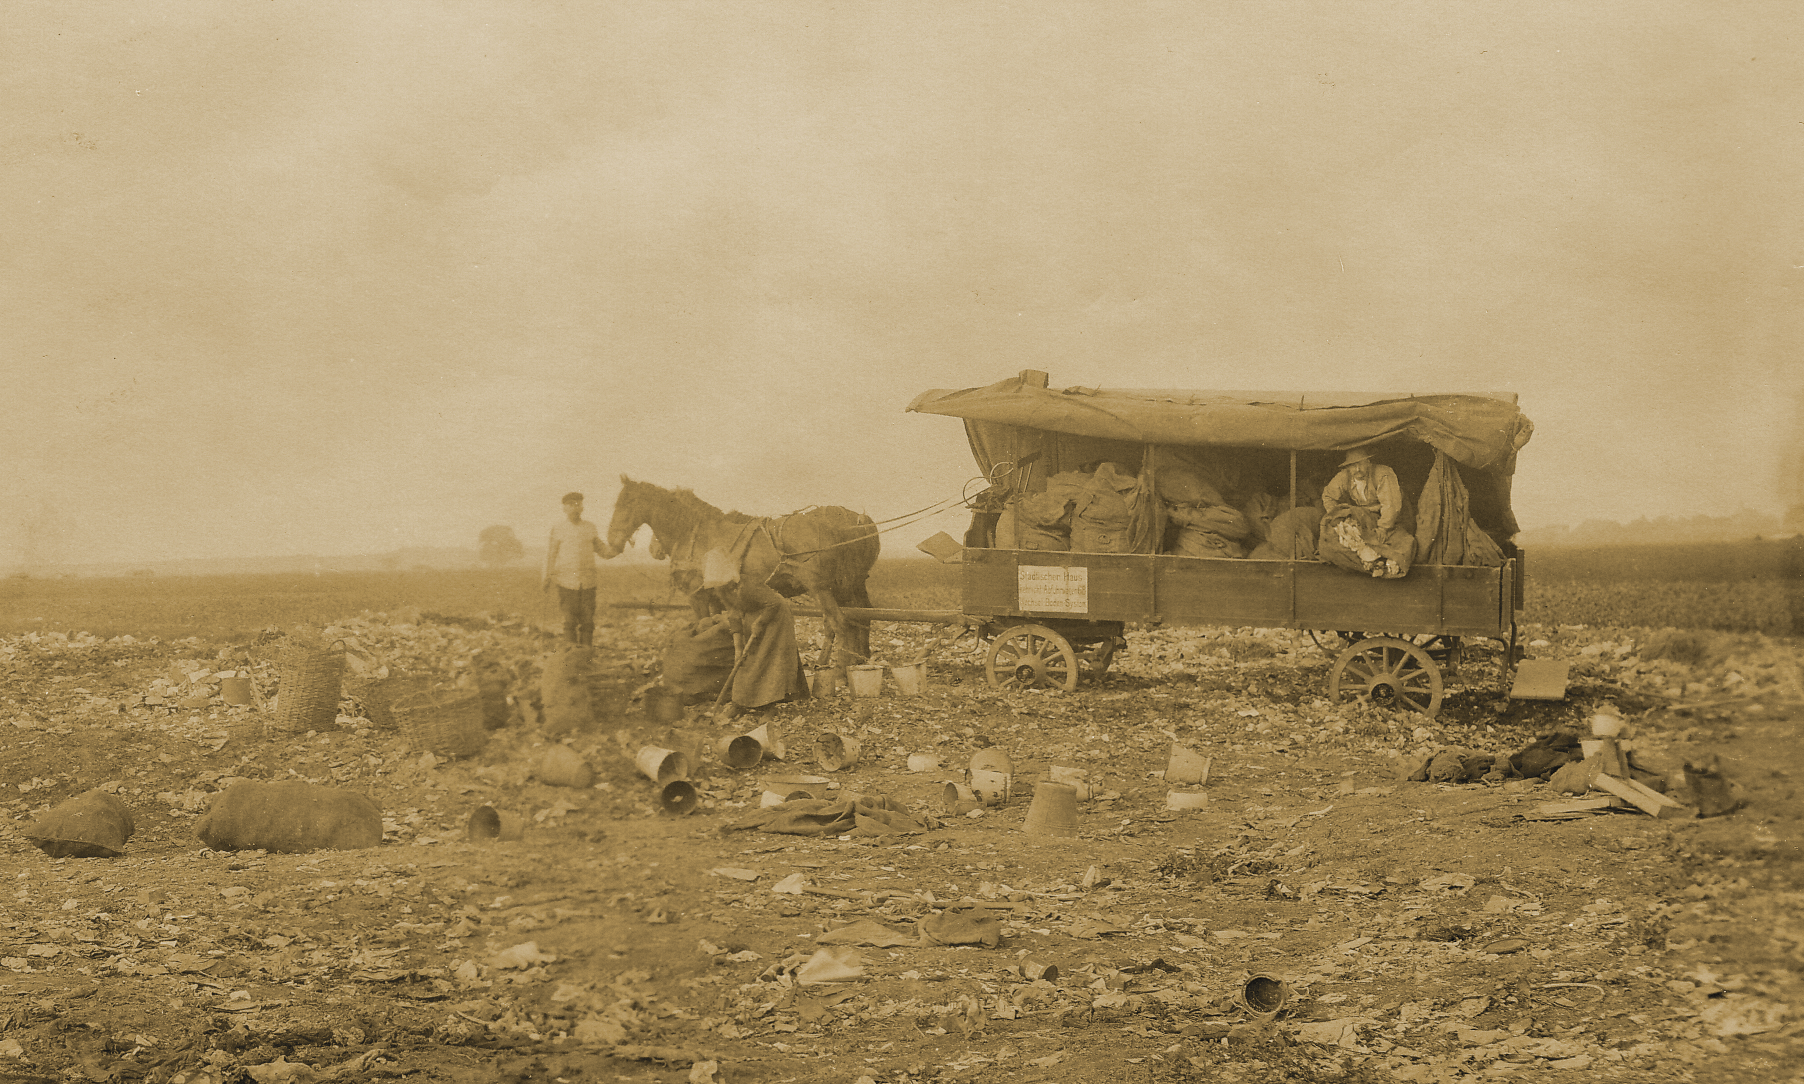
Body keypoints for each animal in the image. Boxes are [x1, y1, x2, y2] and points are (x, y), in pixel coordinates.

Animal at [606, 476, 880, 663]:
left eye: (625, 504)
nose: (612, 541)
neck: (695, 535)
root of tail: (859, 521)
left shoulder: (698, 596)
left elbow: (704, 625)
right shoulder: (717, 597)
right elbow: (722, 627)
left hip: (824, 588)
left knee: (840, 622)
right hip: (851, 584)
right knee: (860, 616)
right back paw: (858, 660)